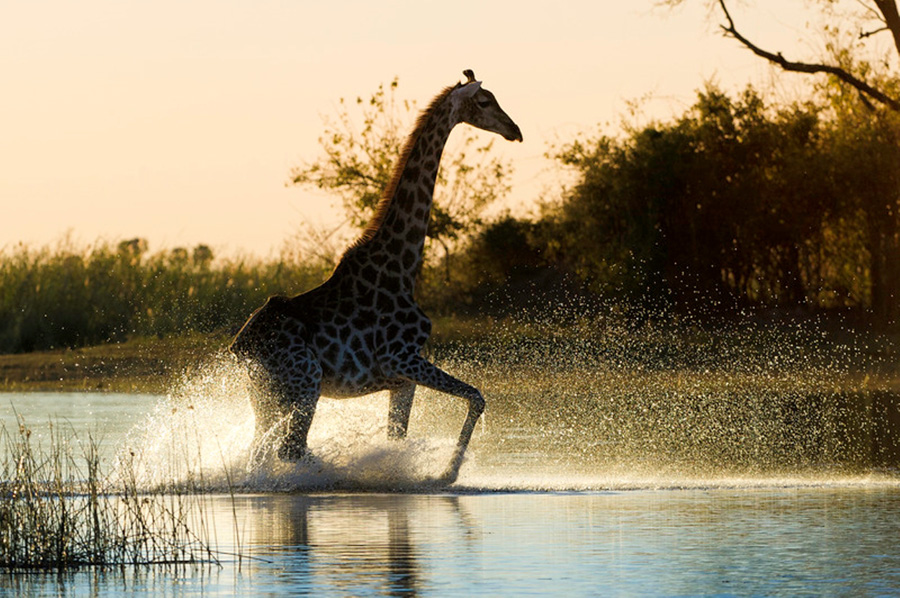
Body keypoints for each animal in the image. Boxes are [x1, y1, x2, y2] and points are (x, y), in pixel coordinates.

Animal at [230, 70, 520, 486]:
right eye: (484, 101)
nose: (515, 130)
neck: (403, 266)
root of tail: (240, 346)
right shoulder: (402, 358)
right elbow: (477, 396)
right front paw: (446, 473)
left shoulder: (402, 378)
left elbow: (398, 436)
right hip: (305, 383)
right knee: (290, 449)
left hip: (267, 395)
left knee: (261, 453)